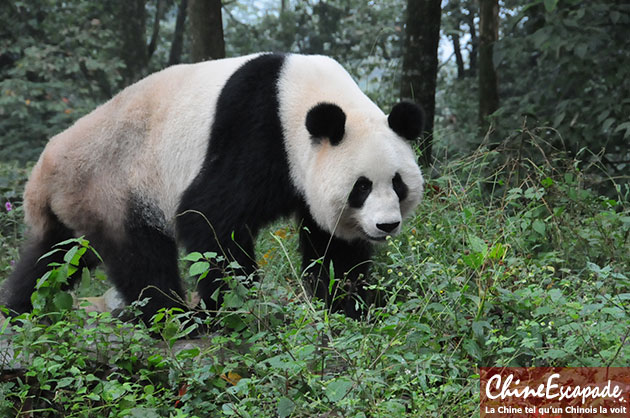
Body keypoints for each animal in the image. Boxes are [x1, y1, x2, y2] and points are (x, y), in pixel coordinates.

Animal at [2, 52, 428, 320]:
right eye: (361, 187)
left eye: (398, 184)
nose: (386, 225)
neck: (298, 96)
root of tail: (43, 172)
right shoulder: (257, 133)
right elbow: (209, 217)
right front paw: (237, 308)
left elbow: (333, 246)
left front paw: (351, 305)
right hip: (112, 185)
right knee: (139, 257)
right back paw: (174, 317)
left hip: (76, 203)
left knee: (53, 257)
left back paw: (19, 311)